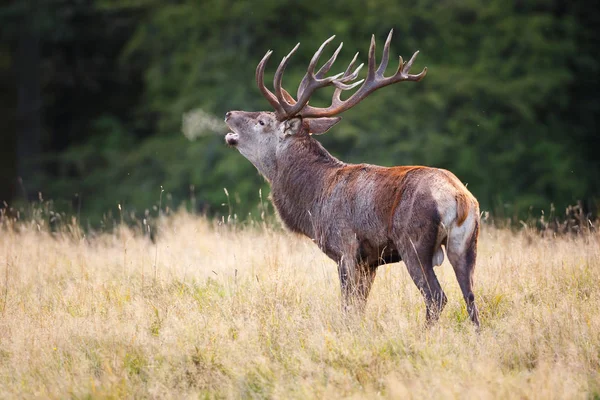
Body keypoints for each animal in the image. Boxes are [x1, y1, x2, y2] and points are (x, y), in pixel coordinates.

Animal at [223, 29, 480, 326]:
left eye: (262, 121)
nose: (229, 113)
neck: (315, 200)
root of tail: (460, 198)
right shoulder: (369, 261)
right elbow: (360, 306)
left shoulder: (346, 247)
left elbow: (347, 307)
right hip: (466, 244)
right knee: (470, 297)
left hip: (413, 243)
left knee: (436, 297)